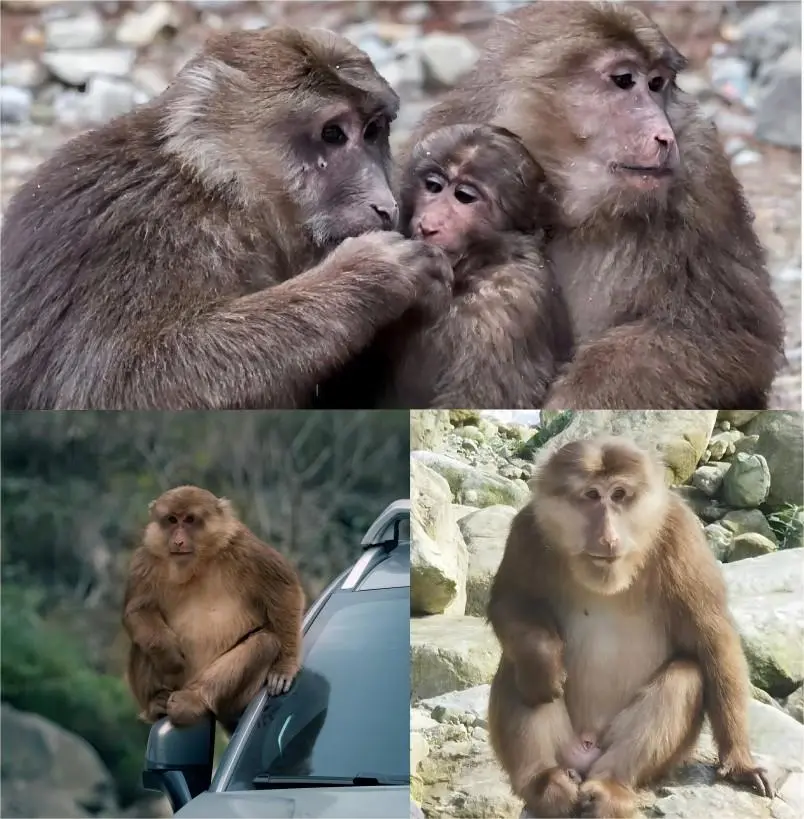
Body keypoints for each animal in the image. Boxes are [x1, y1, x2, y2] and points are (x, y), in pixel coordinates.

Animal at [0, 26, 453, 410]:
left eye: (373, 131)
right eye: (333, 134)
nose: (386, 205)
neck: (220, 188)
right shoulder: (149, 237)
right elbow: (111, 391)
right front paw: (371, 273)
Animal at [123, 485, 305, 729]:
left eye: (190, 520)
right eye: (171, 520)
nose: (178, 541)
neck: (199, 562)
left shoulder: (245, 549)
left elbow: (285, 591)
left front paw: (285, 665)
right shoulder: (145, 558)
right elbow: (138, 609)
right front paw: (168, 655)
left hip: (234, 699)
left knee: (265, 642)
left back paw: (194, 699)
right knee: (140, 642)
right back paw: (156, 702)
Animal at [406, 1, 786, 410]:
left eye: (656, 84)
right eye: (624, 80)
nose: (664, 135)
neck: (561, 202)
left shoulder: (703, 170)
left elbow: (730, 334)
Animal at [486, 436, 772, 818]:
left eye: (619, 495)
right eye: (592, 495)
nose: (608, 536)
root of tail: (585, 754)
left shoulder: (681, 534)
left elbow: (713, 639)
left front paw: (740, 762)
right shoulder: (527, 530)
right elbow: (509, 600)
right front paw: (542, 659)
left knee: (687, 674)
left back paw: (610, 785)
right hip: (565, 748)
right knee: (518, 669)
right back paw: (544, 782)